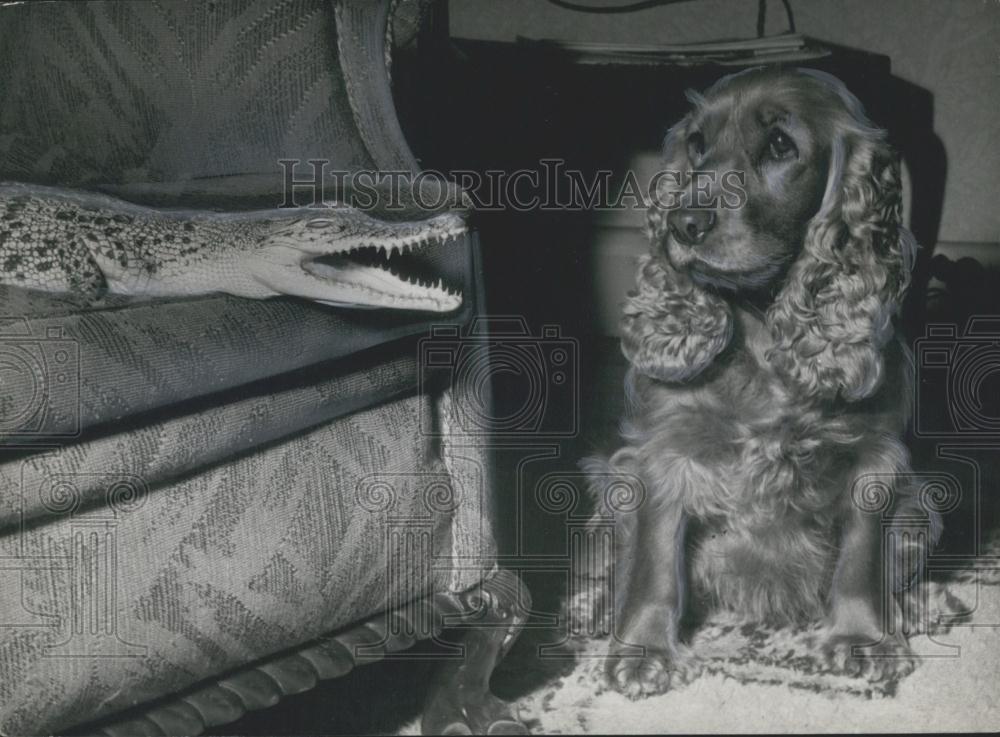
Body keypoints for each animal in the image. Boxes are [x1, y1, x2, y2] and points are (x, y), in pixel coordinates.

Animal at [572, 67, 936, 696]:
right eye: (697, 145)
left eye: (781, 146)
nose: (683, 223)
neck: (764, 326)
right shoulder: (662, 452)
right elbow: (654, 563)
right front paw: (643, 650)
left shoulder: (875, 455)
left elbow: (861, 559)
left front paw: (862, 637)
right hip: (606, 482)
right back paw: (596, 609)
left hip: (922, 511)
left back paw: (916, 606)